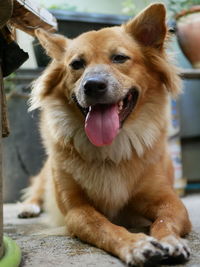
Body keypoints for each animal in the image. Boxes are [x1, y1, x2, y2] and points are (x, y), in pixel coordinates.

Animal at [18, 3, 191, 266]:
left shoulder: (170, 200)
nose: (92, 85)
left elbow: (166, 221)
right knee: (36, 190)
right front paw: (137, 244)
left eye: (119, 58)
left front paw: (170, 241)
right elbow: (103, 226)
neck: (112, 148)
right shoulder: (76, 211)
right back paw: (29, 207)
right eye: (76, 64)